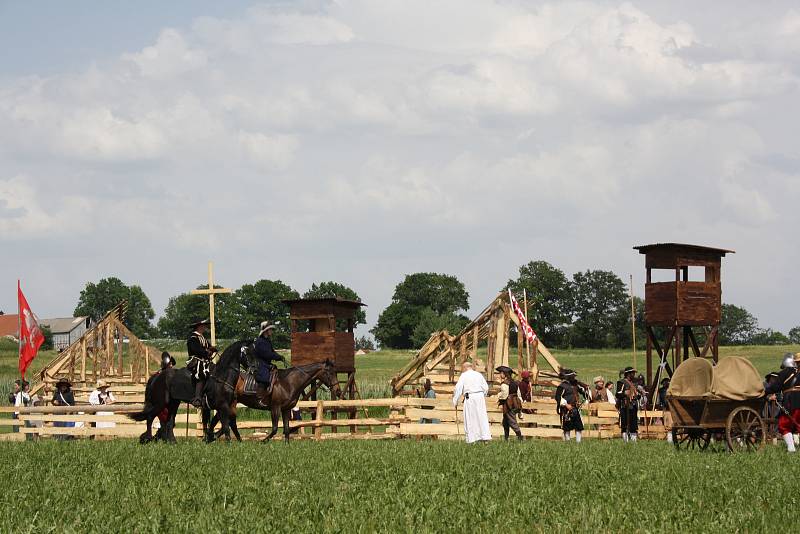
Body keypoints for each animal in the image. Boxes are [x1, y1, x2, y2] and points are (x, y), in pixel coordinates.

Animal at [208, 352, 340, 444]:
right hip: (229, 404)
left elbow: (286, 428)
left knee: (224, 421)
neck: (288, 382)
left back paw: (214, 437)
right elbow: (275, 428)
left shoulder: (286, 409)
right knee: (226, 421)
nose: (338, 391)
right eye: (330, 372)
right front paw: (263, 441)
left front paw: (286, 444)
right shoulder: (275, 408)